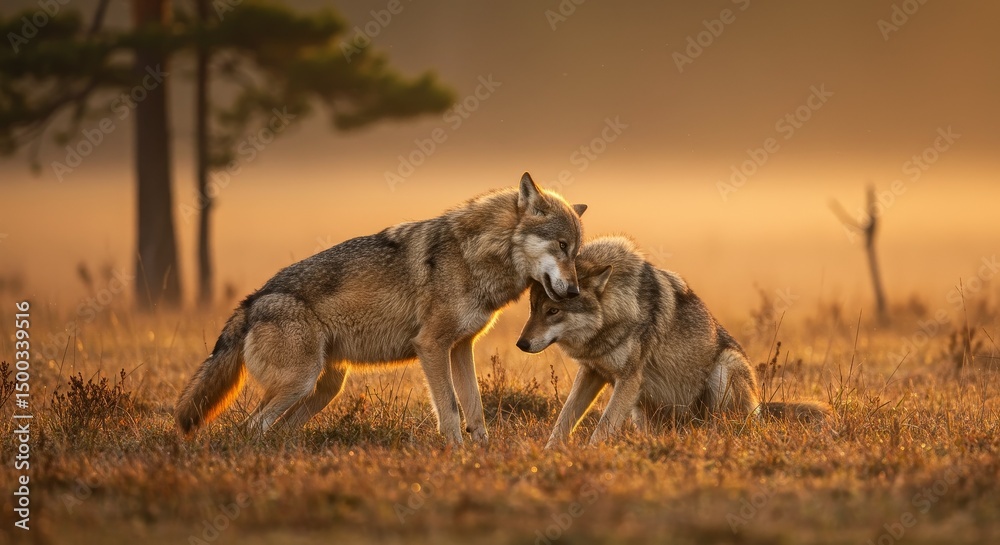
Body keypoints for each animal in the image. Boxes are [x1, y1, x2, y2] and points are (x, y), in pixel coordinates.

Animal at [175, 173, 587, 445]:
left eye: (576, 251)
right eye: (561, 245)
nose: (574, 291)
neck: (475, 255)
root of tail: (253, 300)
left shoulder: (460, 347)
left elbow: (475, 407)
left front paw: (482, 454)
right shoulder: (431, 346)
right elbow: (451, 409)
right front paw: (455, 453)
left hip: (325, 389)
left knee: (277, 430)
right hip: (300, 382)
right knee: (250, 427)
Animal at [515, 236, 830, 447]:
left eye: (553, 311)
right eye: (532, 309)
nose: (521, 344)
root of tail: (760, 408)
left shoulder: (629, 380)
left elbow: (601, 429)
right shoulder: (593, 372)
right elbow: (563, 421)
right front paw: (550, 456)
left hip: (724, 368)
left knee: (724, 426)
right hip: (642, 410)